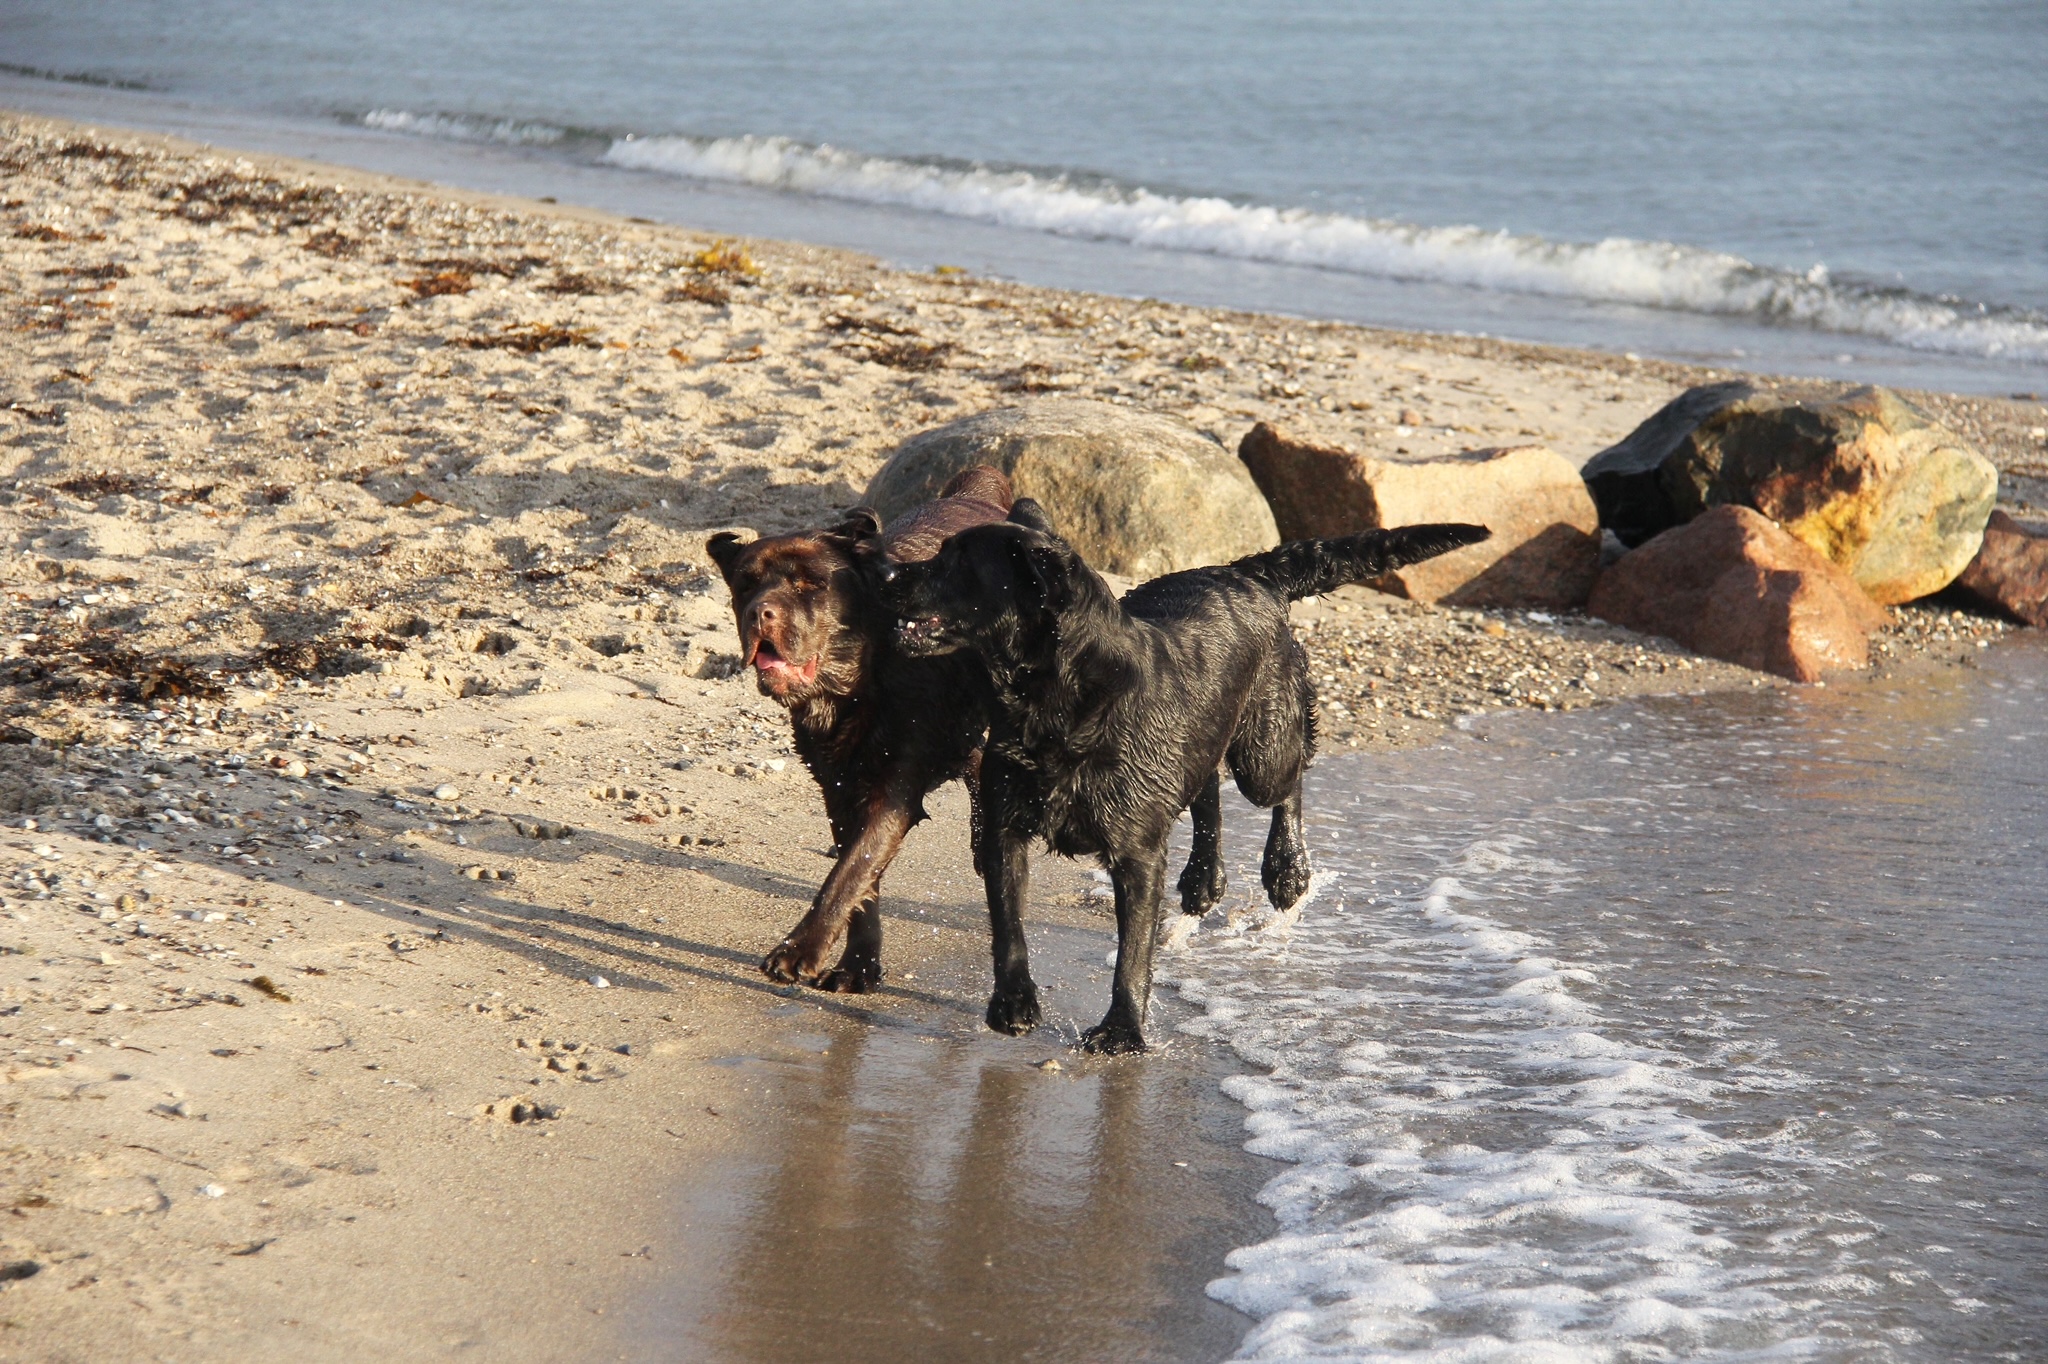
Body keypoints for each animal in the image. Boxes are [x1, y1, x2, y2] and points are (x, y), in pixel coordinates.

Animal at [708, 466, 1011, 987]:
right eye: (745, 585)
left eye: (811, 583)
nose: (760, 612)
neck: (856, 684)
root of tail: (978, 491)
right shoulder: (840, 788)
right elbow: (861, 880)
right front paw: (858, 966)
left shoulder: (893, 790)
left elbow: (848, 873)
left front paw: (798, 950)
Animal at [872, 509, 1482, 1048]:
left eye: (956, 559)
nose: (885, 573)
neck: (1058, 702)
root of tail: (1248, 572)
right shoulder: (1005, 827)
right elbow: (1008, 926)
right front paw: (1013, 1005)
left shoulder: (1136, 853)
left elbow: (1133, 951)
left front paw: (1122, 1031)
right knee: (1206, 786)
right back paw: (1203, 880)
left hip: (1262, 748)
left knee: (1287, 781)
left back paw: (1287, 871)